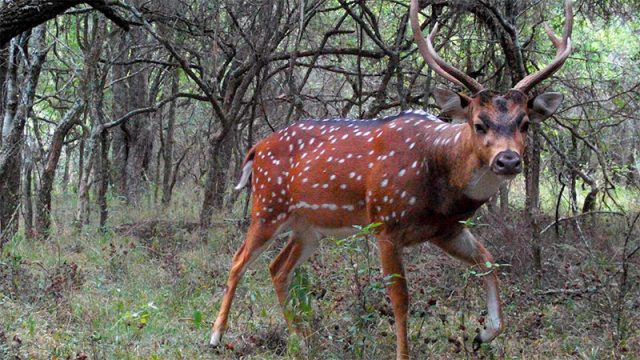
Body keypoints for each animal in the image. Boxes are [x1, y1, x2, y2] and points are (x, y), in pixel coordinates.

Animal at [211, 0, 576, 358]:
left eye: (525, 123)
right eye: (478, 123)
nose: (508, 159)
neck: (437, 171)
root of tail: (256, 149)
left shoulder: (447, 230)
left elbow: (489, 261)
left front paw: (484, 332)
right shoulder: (385, 224)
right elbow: (401, 299)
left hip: (309, 226)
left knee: (278, 268)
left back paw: (303, 340)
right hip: (268, 206)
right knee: (238, 259)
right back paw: (217, 336)